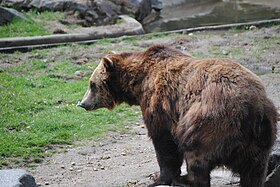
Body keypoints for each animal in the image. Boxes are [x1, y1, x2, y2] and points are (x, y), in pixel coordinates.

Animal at [77, 45, 276, 187]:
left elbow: (164, 144)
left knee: (196, 152)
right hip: (260, 138)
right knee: (255, 171)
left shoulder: (160, 104)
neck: (138, 82)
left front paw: (160, 177)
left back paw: (186, 179)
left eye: (92, 84)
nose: (83, 103)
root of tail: (255, 109)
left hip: (210, 120)